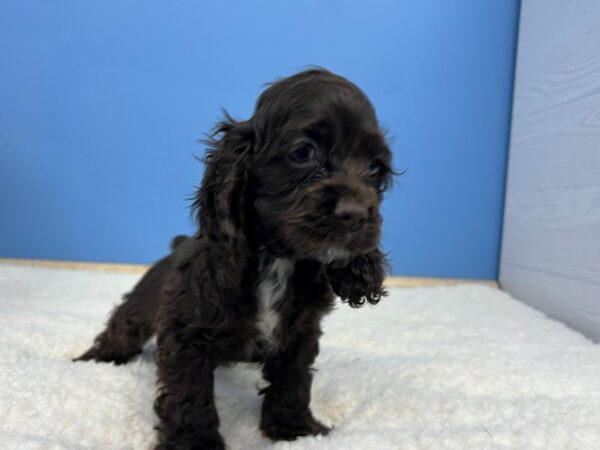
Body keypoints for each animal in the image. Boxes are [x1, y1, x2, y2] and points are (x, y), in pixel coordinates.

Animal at [75, 68, 394, 448]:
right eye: (303, 152)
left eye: (375, 167)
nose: (356, 214)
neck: (279, 262)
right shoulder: (186, 334)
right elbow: (189, 395)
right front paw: (195, 443)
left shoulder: (300, 333)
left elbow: (293, 382)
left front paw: (294, 429)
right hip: (141, 306)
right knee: (121, 329)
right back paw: (91, 361)